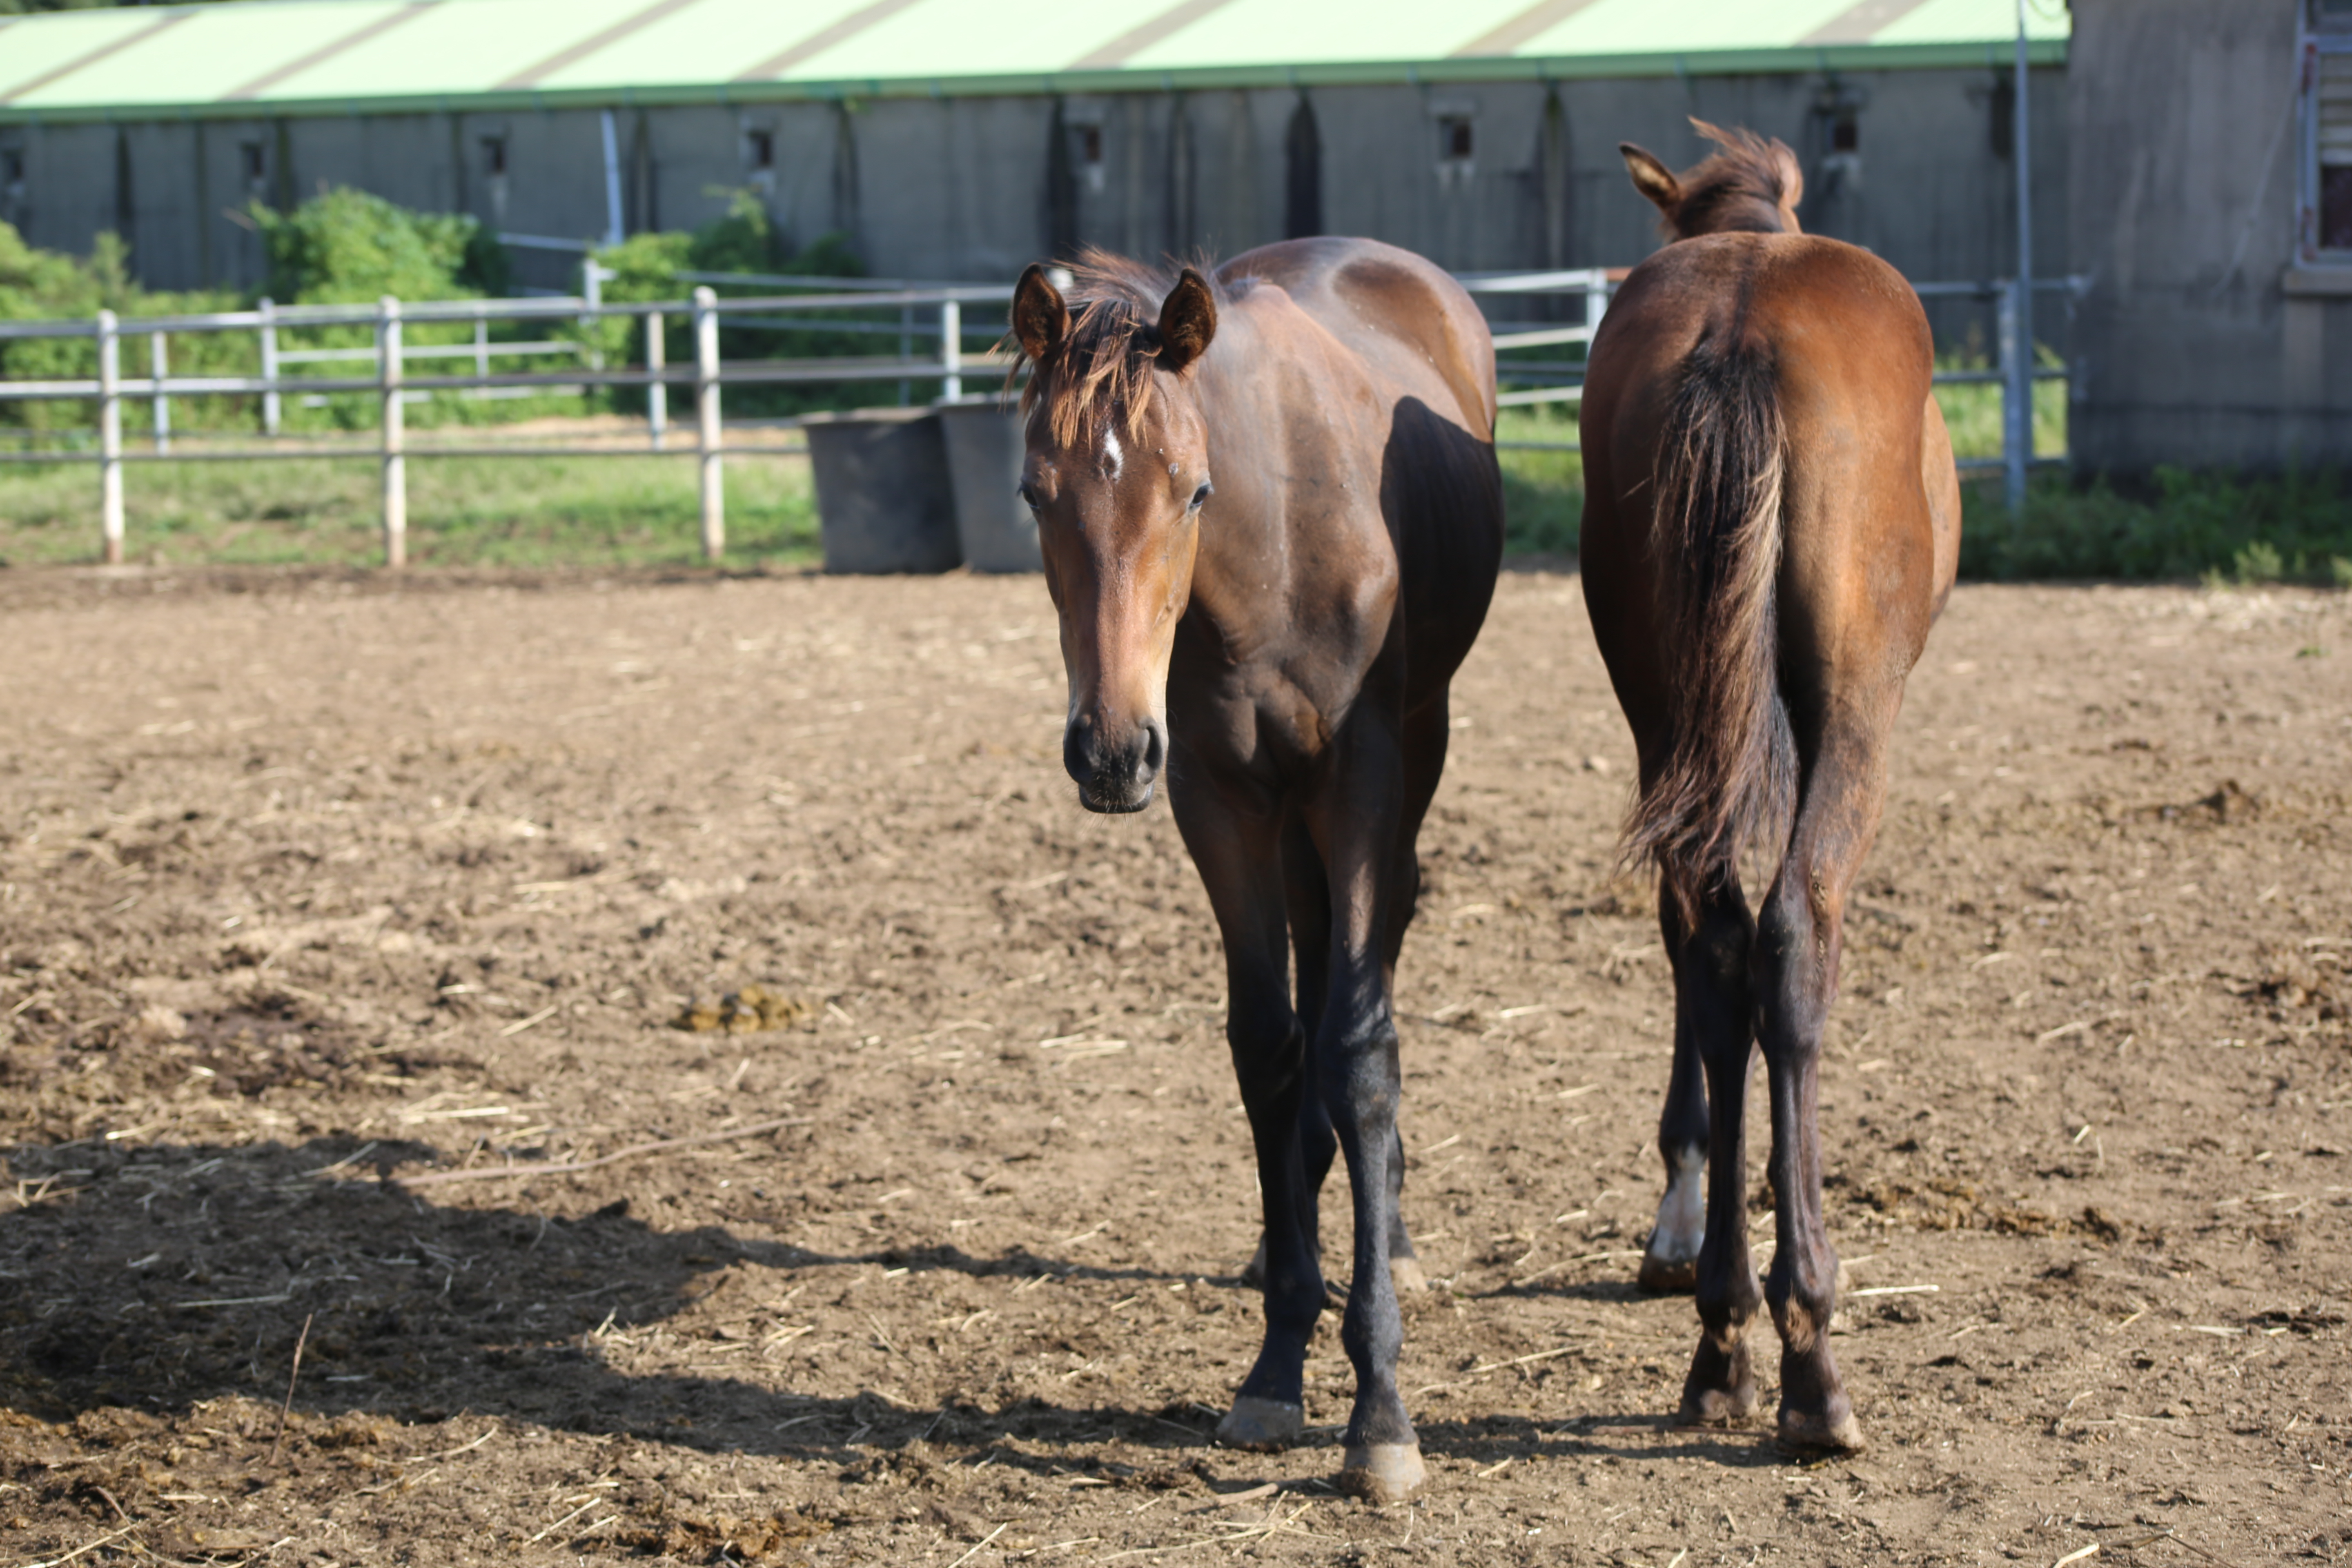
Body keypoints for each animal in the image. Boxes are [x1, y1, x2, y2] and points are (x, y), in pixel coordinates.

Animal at [1011, 240, 1505, 1504]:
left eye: (1192, 491)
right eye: (1036, 495)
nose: (1109, 750)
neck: (1270, 553)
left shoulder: (1362, 781)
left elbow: (1360, 1051)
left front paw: (1380, 1409)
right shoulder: (1217, 799)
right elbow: (1269, 1050)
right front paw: (1281, 1355)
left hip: (1405, 762)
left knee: (1369, 970)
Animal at [1580, 120, 1966, 1448]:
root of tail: (1739, 334)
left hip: (1665, 702)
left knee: (1711, 939)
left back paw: (1721, 1338)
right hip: (1854, 712)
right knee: (1792, 935)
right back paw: (1807, 1354)